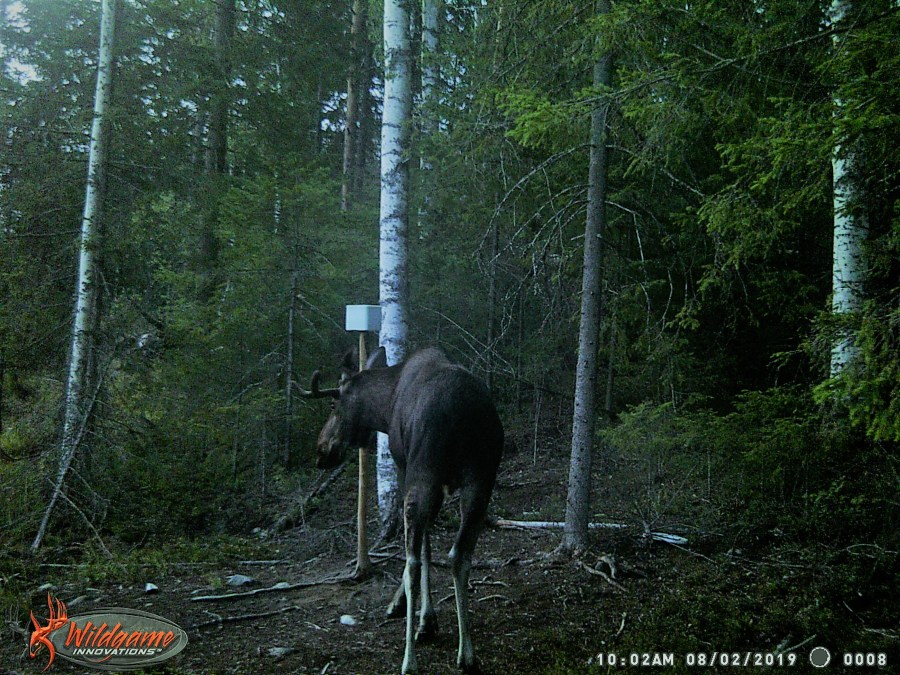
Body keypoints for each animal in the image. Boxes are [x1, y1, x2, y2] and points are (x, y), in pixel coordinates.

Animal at [301, 346, 503, 674]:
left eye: (333, 404)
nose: (321, 452)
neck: (386, 406)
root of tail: (464, 412)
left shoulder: (407, 468)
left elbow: (423, 550)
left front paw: (420, 616)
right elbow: (431, 546)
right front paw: (424, 617)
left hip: (424, 475)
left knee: (412, 562)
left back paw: (410, 660)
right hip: (481, 480)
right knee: (460, 555)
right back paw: (467, 653)